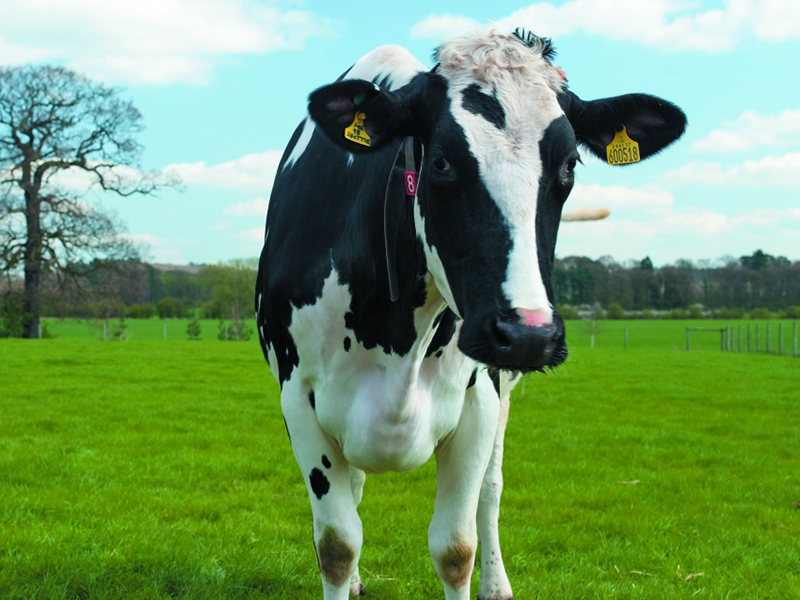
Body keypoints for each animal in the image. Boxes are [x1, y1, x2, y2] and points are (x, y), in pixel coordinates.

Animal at [255, 27, 686, 599]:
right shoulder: (298, 398)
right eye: (440, 161)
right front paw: (349, 574)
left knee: (491, 488)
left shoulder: (479, 399)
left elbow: (456, 548)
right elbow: (338, 544)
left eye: (570, 165)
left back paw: (497, 583)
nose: (526, 335)